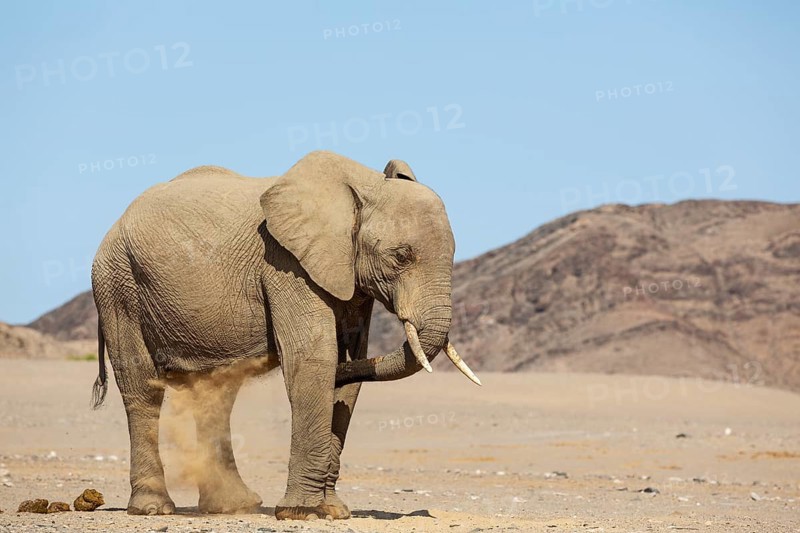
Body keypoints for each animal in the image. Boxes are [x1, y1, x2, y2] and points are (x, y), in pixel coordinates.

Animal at [90, 150, 480, 520]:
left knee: (216, 394)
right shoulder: (287, 263)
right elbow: (315, 361)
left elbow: (348, 369)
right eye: (401, 256)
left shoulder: (348, 276)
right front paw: (301, 512)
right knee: (143, 387)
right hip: (118, 284)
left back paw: (233, 506)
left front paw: (333, 511)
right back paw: (154, 508)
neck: (362, 187)